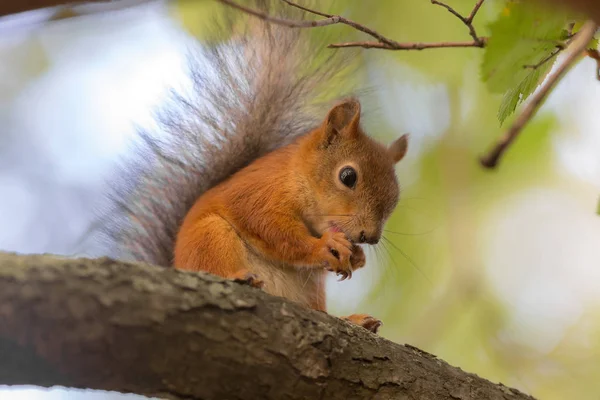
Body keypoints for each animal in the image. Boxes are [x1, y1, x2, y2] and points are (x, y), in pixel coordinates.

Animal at [98, 0, 408, 334]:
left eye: (395, 196)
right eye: (348, 176)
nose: (370, 237)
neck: (297, 177)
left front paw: (358, 257)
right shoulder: (257, 193)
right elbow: (270, 227)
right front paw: (324, 246)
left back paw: (352, 320)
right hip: (210, 237)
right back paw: (239, 278)